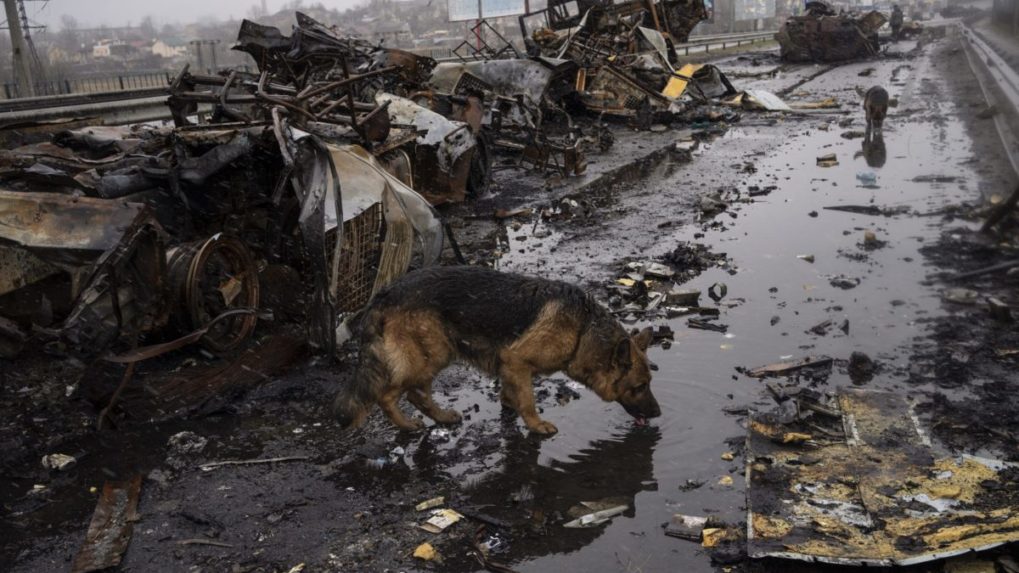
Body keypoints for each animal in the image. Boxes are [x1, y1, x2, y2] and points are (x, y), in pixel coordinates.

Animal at [336, 265, 660, 434]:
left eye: (649, 383)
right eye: (639, 386)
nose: (657, 414)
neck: (583, 329)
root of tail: (383, 294)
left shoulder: (509, 366)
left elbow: (510, 392)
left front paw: (509, 407)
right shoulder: (517, 360)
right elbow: (528, 399)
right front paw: (536, 425)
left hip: (434, 354)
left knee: (416, 394)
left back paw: (441, 418)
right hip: (431, 355)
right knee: (391, 394)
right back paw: (407, 425)